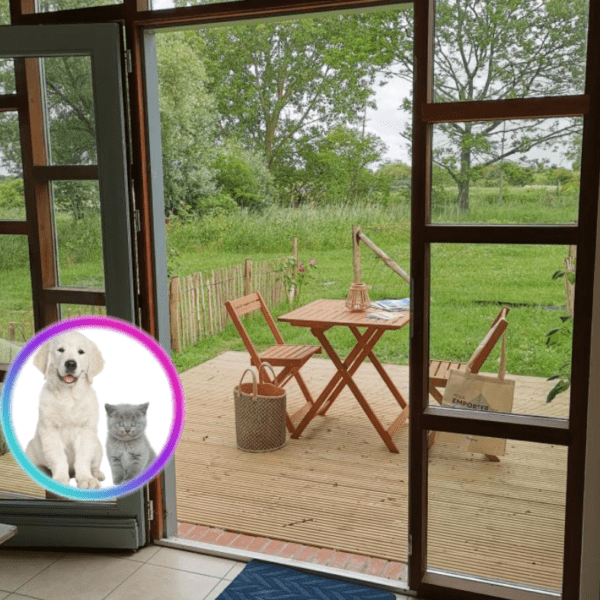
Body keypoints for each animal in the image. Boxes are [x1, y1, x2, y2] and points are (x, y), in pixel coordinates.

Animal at [26, 330, 105, 490]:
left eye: (81, 352)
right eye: (60, 350)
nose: (70, 363)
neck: (68, 395)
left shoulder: (85, 429)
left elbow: (83, 457)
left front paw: (86, 479)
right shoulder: (50, 430)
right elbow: (58, 456)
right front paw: (60, 479)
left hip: (98, 447)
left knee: (94, 464)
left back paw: (96, 474)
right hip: (31, 451)